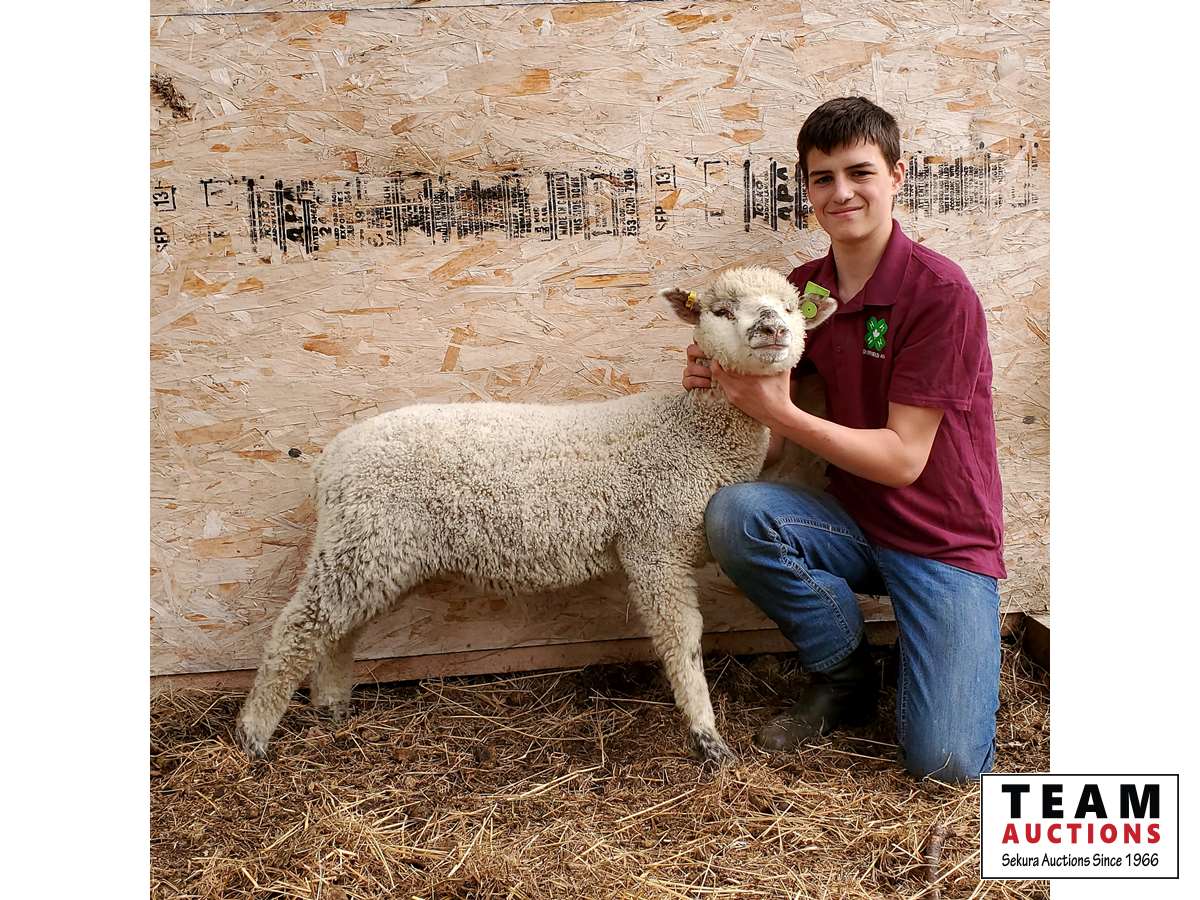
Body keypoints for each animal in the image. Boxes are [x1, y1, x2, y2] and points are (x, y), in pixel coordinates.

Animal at [235, 266, 838, 765]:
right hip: (363, 537)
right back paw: (254, 736)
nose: (772, 329)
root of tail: (329, 462)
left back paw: (332, 706)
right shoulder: (654, 547)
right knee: (297, 629)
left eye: (790, 306)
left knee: (339, 630)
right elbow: (682, 639)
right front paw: (707, 737)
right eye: (721, 311)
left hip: (372, 550)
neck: (690, 438)